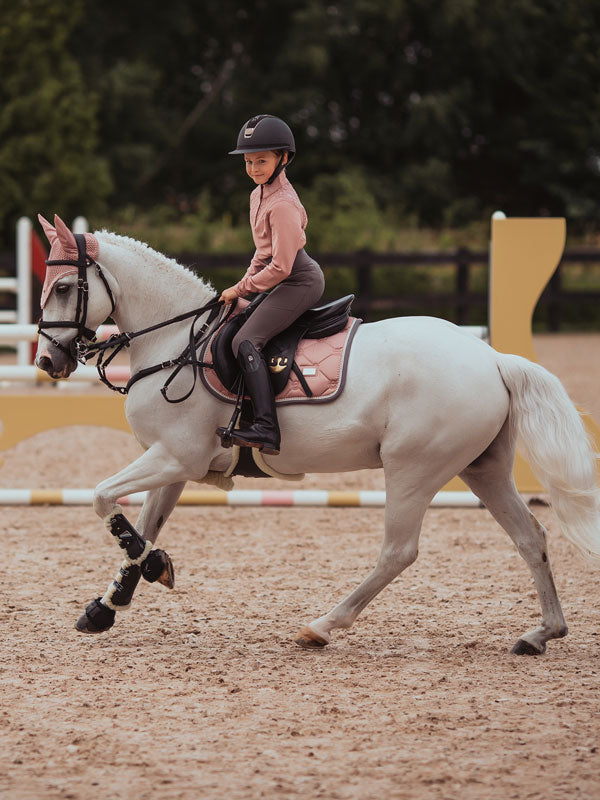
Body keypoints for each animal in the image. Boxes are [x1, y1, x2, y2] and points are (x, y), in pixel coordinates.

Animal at [36, 214, 600, 655]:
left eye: (63, 288)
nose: (46, 362)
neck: (177, 341)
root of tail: (493, 359)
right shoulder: (172, 465)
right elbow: (142, 529)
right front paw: (109, 604)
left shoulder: (175, 457)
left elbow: (102, 498)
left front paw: (148, 574)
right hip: (482, 468)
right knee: (531, 537)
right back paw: (541, 633)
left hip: (414, 469)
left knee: (399, 551)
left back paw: (322, 626)